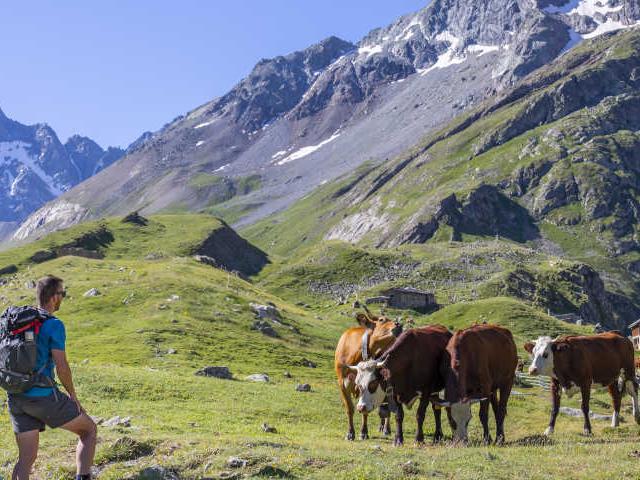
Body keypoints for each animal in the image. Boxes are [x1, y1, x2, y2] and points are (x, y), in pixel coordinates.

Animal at [336, 310, 400, 440]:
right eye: (381, 320)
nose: (398, 324)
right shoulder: (342, 384)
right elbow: (350, 408)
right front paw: (350, 433)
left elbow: (366, 410)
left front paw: (363, 432)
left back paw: (386, 428)